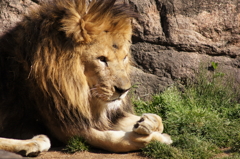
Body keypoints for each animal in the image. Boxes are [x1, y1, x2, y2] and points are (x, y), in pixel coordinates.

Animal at [0, 0, 172, 157]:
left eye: (124, 58)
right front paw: (157, 138)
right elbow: (113, 140)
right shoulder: (65, 126)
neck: (83, 93)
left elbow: (159, 119)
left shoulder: (104, 116)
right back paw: (33, 143)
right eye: (101, 59)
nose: (124, 91)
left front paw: (147, 122)